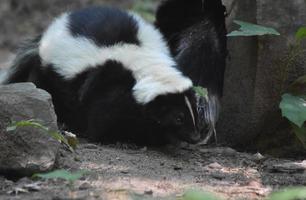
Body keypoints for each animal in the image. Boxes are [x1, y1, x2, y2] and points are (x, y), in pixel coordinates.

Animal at [1, 5, 202, 144]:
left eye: (195, 111)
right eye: (178, 117)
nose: (195, 137)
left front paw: (158, 137)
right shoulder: (106, 80)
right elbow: (101, 112)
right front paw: (112, 137)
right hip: (47, 71)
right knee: (47, 89)